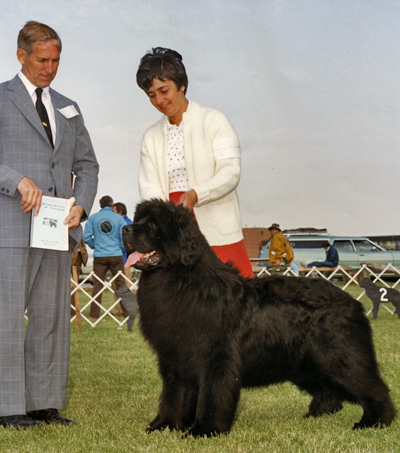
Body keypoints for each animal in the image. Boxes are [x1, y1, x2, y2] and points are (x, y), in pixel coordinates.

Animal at [123, 200, 396, 436]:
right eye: (138, 221)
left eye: (154, 225)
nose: (125, 229)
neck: (180, 277)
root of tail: (353, 301)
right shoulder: (173, 357)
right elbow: (173, 395)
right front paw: (164, 425)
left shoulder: (216, 357)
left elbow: (211, 396)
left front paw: (204, 430)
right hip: (306, 363)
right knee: (329, 390)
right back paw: (317, 414)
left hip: (341, 358)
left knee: (373, 387)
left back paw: (375, 421)